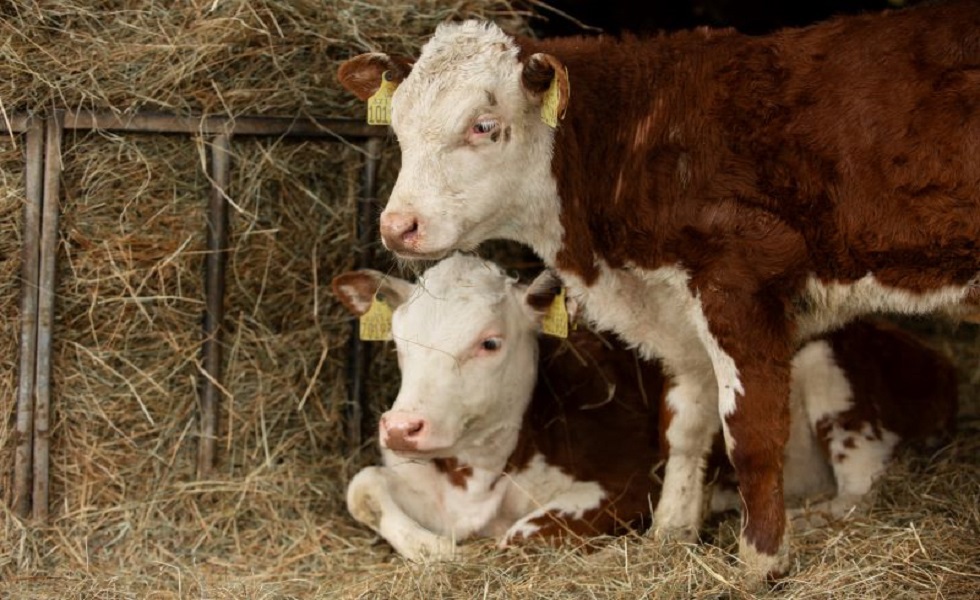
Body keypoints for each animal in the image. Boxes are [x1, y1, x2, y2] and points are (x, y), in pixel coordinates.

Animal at [332, 254, 956, 564]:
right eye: (398, 342)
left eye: (490, 342)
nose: (402, 427)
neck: (482, 472)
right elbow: (362, 486)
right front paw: (432, 547)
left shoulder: (630, 484)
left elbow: (518, 536)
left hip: (837, 387)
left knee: (857, 493)